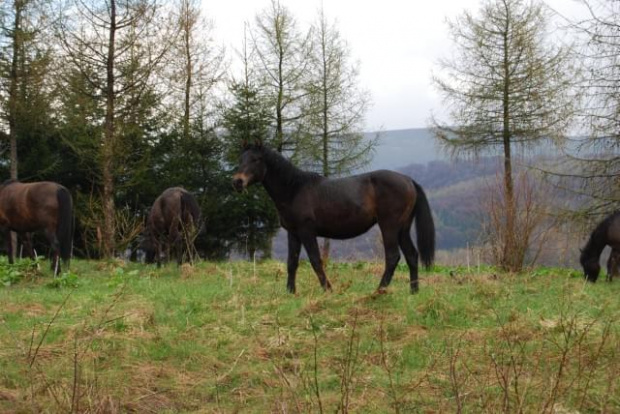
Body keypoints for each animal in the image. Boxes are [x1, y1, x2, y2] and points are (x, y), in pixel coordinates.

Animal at [234, 144, 436, 292]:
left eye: (256, 159)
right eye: (241, 159)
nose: (237, 182)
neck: (294, 189)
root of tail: (408, 180)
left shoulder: (306, 231)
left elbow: (315, 260)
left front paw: (328, 289)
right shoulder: (294, 233)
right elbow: (292, 262)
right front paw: (290, 292)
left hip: (389, 227)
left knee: (393, 257)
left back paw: (379, 291)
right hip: (403, 229)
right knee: (411, 255)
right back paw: (413, 291)